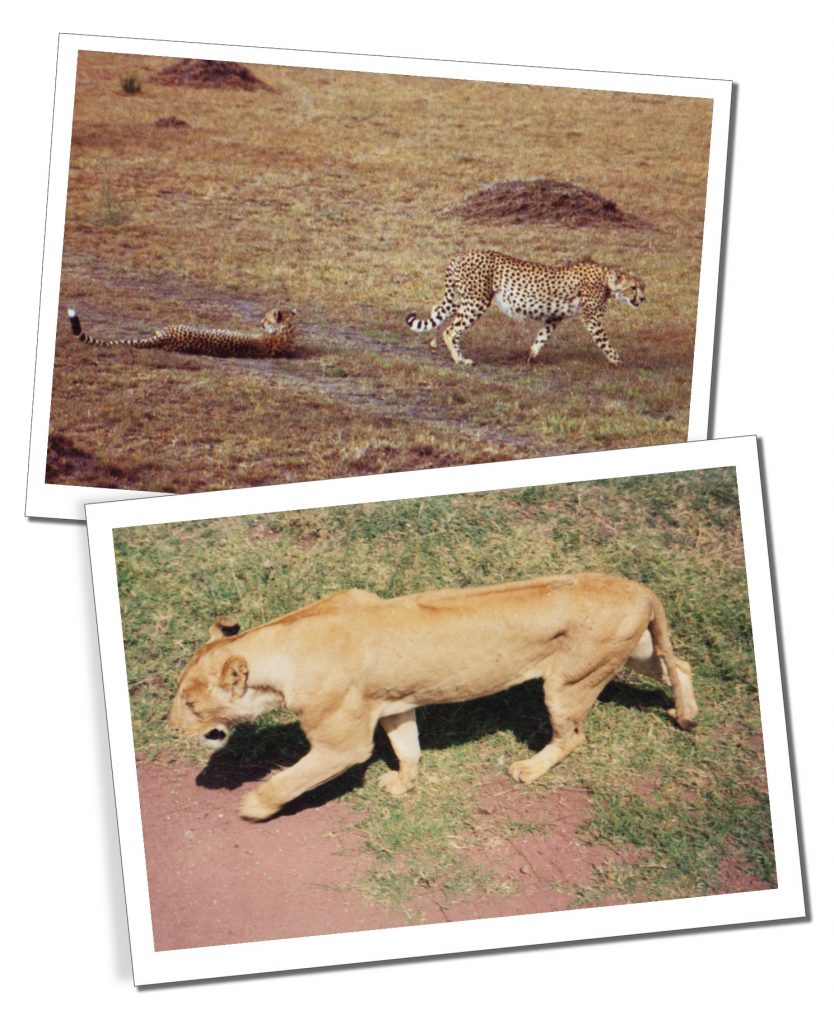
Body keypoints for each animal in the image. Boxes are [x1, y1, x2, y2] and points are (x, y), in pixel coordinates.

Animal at [168, 574, 697, 821]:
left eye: (191, 705)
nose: (171, 727)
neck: (281, 646)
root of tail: (641, 588)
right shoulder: (395, 705)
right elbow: (409, 749)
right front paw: (403, 785)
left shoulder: (342, 745)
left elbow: (290, 780)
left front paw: (255, 806)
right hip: (634, 650)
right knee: (680, 665)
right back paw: (687, 714)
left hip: (570, 682)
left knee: (573, 737)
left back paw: (528, 769)